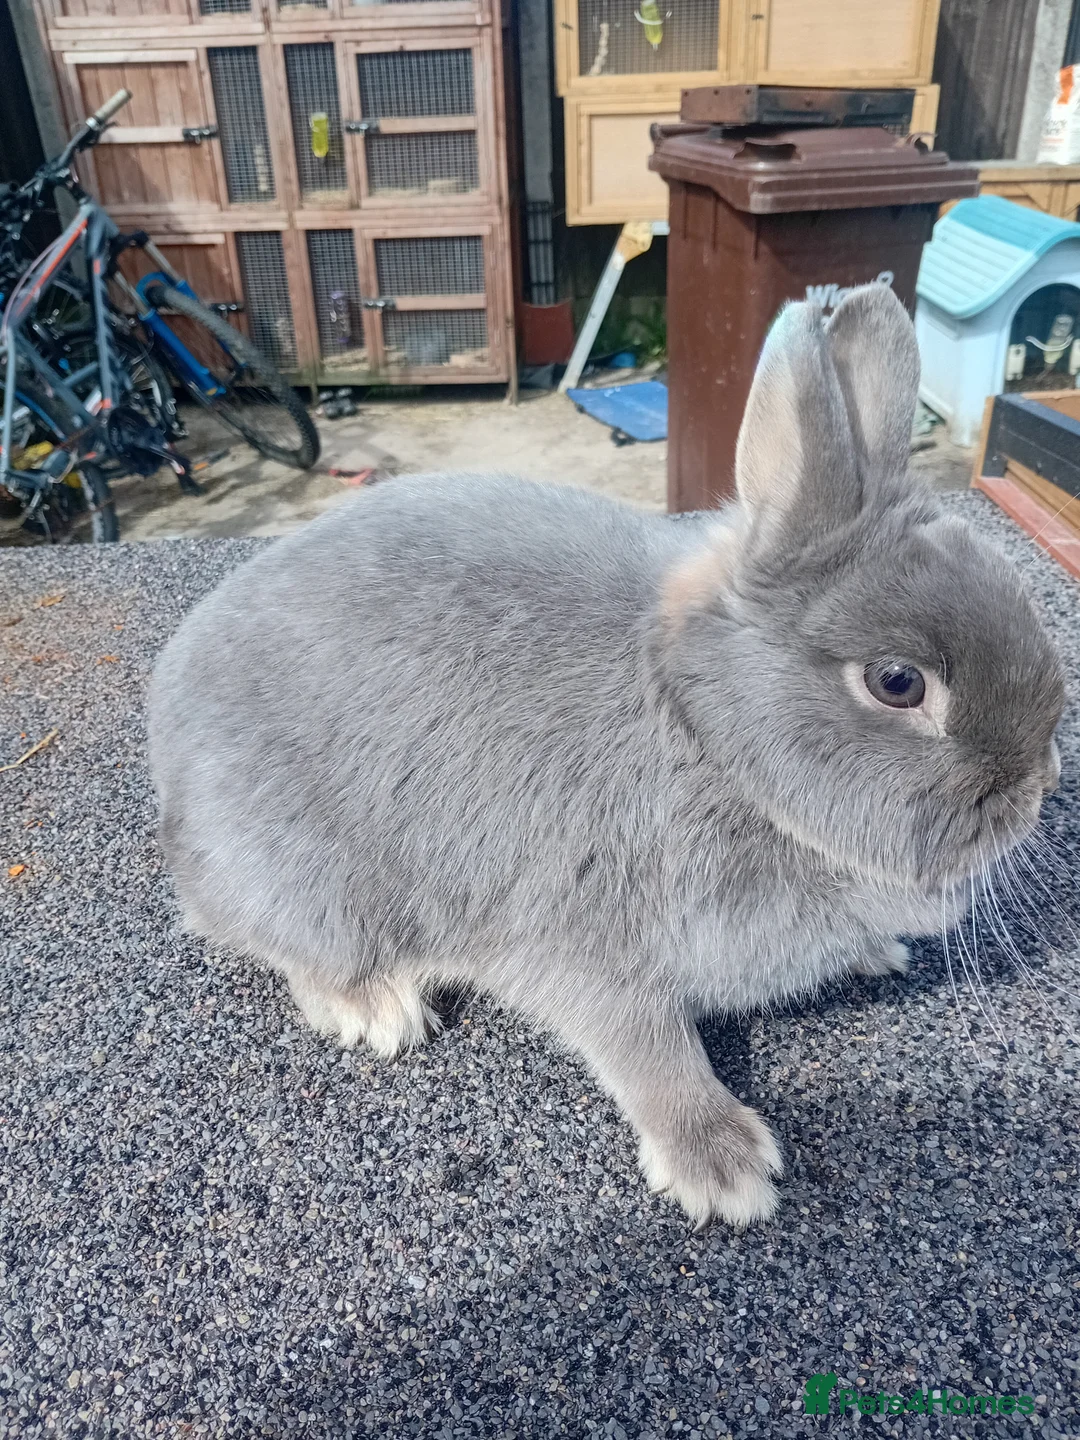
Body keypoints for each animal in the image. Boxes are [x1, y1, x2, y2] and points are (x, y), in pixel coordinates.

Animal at [148, 285, 1064, 1230]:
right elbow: (647, 1045)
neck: (711, 741)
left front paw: (876, 954)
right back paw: (374, 1007)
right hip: (305, 880)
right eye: (897, 683)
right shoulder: (584, 932)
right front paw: (723, 1169)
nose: (1041, 786)